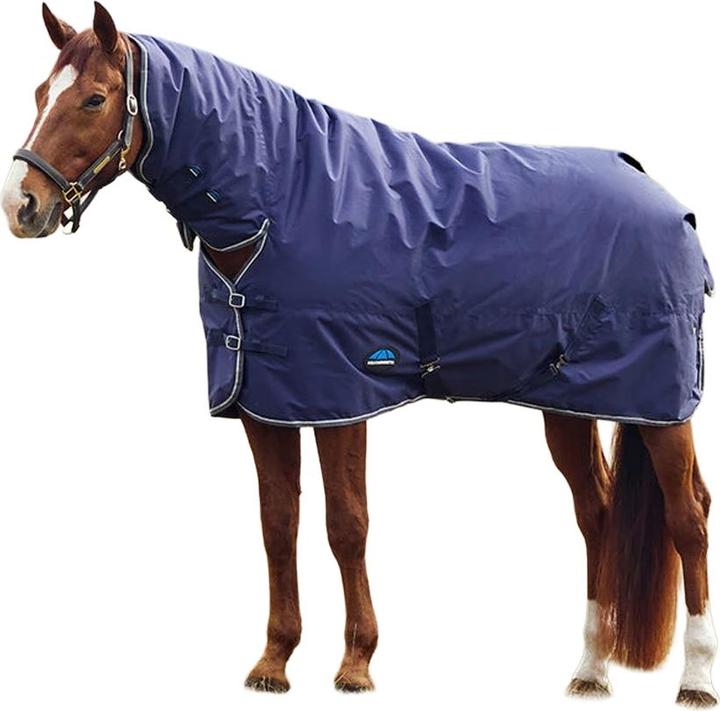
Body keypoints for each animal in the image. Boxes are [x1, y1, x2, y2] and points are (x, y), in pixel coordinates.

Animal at [1, 3, 716, 704]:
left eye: (94, 99)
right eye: (39, 93)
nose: (21, 206)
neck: (281, 203)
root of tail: (665, 199)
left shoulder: (340, 397)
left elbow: (347, 525)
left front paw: (355, 665)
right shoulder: (266, 404)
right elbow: (278, 523)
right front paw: (274, 661)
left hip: (661, 406)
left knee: (689, 517)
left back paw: (696, 680)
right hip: (569, 404)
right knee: (596, 515)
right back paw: (591, 672)